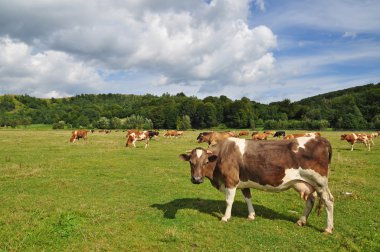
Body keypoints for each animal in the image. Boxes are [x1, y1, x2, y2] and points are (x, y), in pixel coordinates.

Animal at [180, 136, 334, 234]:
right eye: (191, 162)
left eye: (206, 162)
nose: (196, 179)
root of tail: (321, 139)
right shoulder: (243, 181)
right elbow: (248, 198)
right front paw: (251, 215)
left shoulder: (231, 180)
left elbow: (229, 201)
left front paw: (225, 217)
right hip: (305, 183)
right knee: (310, 200)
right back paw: (301, 221)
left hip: (320, 182)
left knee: (329, 201)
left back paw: (328, 228)